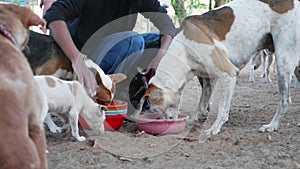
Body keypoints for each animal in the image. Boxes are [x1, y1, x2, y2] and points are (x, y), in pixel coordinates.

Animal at [134, 0, 300, 135]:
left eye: (157, 109)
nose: (165, 122)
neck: (184, 50)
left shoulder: (229, 74)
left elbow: (222, 109)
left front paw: (215, 127)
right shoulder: (208, 79)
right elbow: (202, 104)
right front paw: (194, 120)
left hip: (283, 61)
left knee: (285, 100)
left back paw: (272, 125)